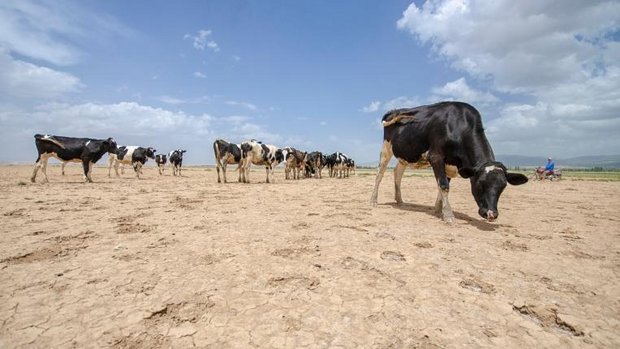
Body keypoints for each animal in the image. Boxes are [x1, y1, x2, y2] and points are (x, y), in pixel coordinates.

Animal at [368, 100, 528, 223]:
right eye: (480, 184)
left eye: (503, 186)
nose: (491, 214)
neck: (458, 126)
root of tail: (395, 110)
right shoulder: (436, 157)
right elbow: (444, 185)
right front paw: (448, 215)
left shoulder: (449, 164)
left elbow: (442, 185)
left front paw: (438, 209)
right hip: (386, 149)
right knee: (379, 174)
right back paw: (373, 200)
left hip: (405, 156)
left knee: (397, 173)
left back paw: (400, 200)